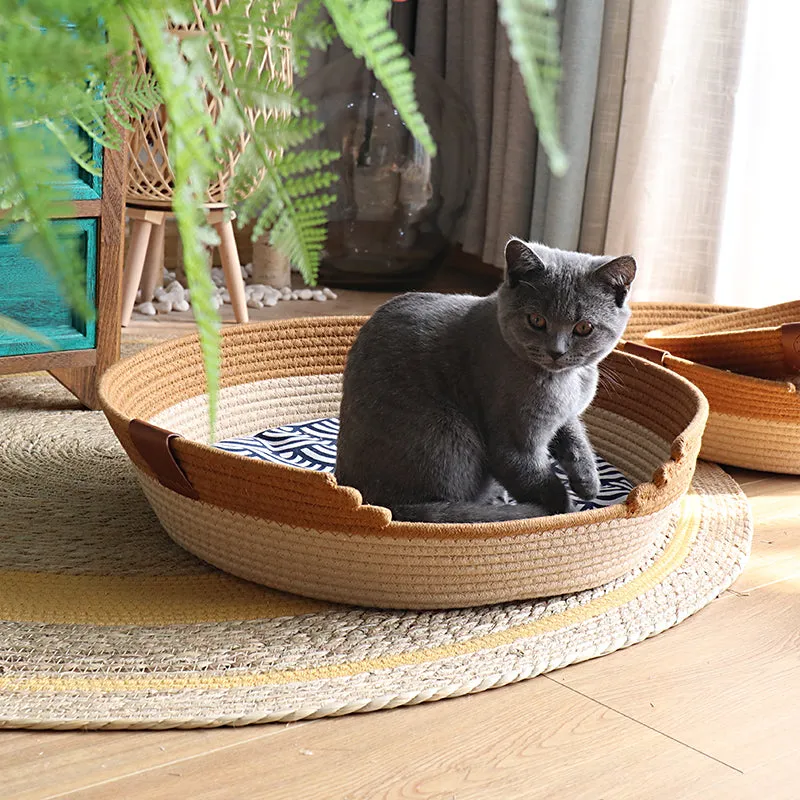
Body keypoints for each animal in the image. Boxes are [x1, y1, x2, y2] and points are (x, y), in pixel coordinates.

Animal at [334, 236, 636, 524]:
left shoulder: (566, 414)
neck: (567, 382)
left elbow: (575, 435)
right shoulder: (513, 447)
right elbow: (545, 485)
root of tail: (373, 501)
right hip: (450, 434)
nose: (556, 352)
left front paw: (588, 482)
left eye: (584, 327)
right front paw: (568, 513)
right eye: (536, 320)